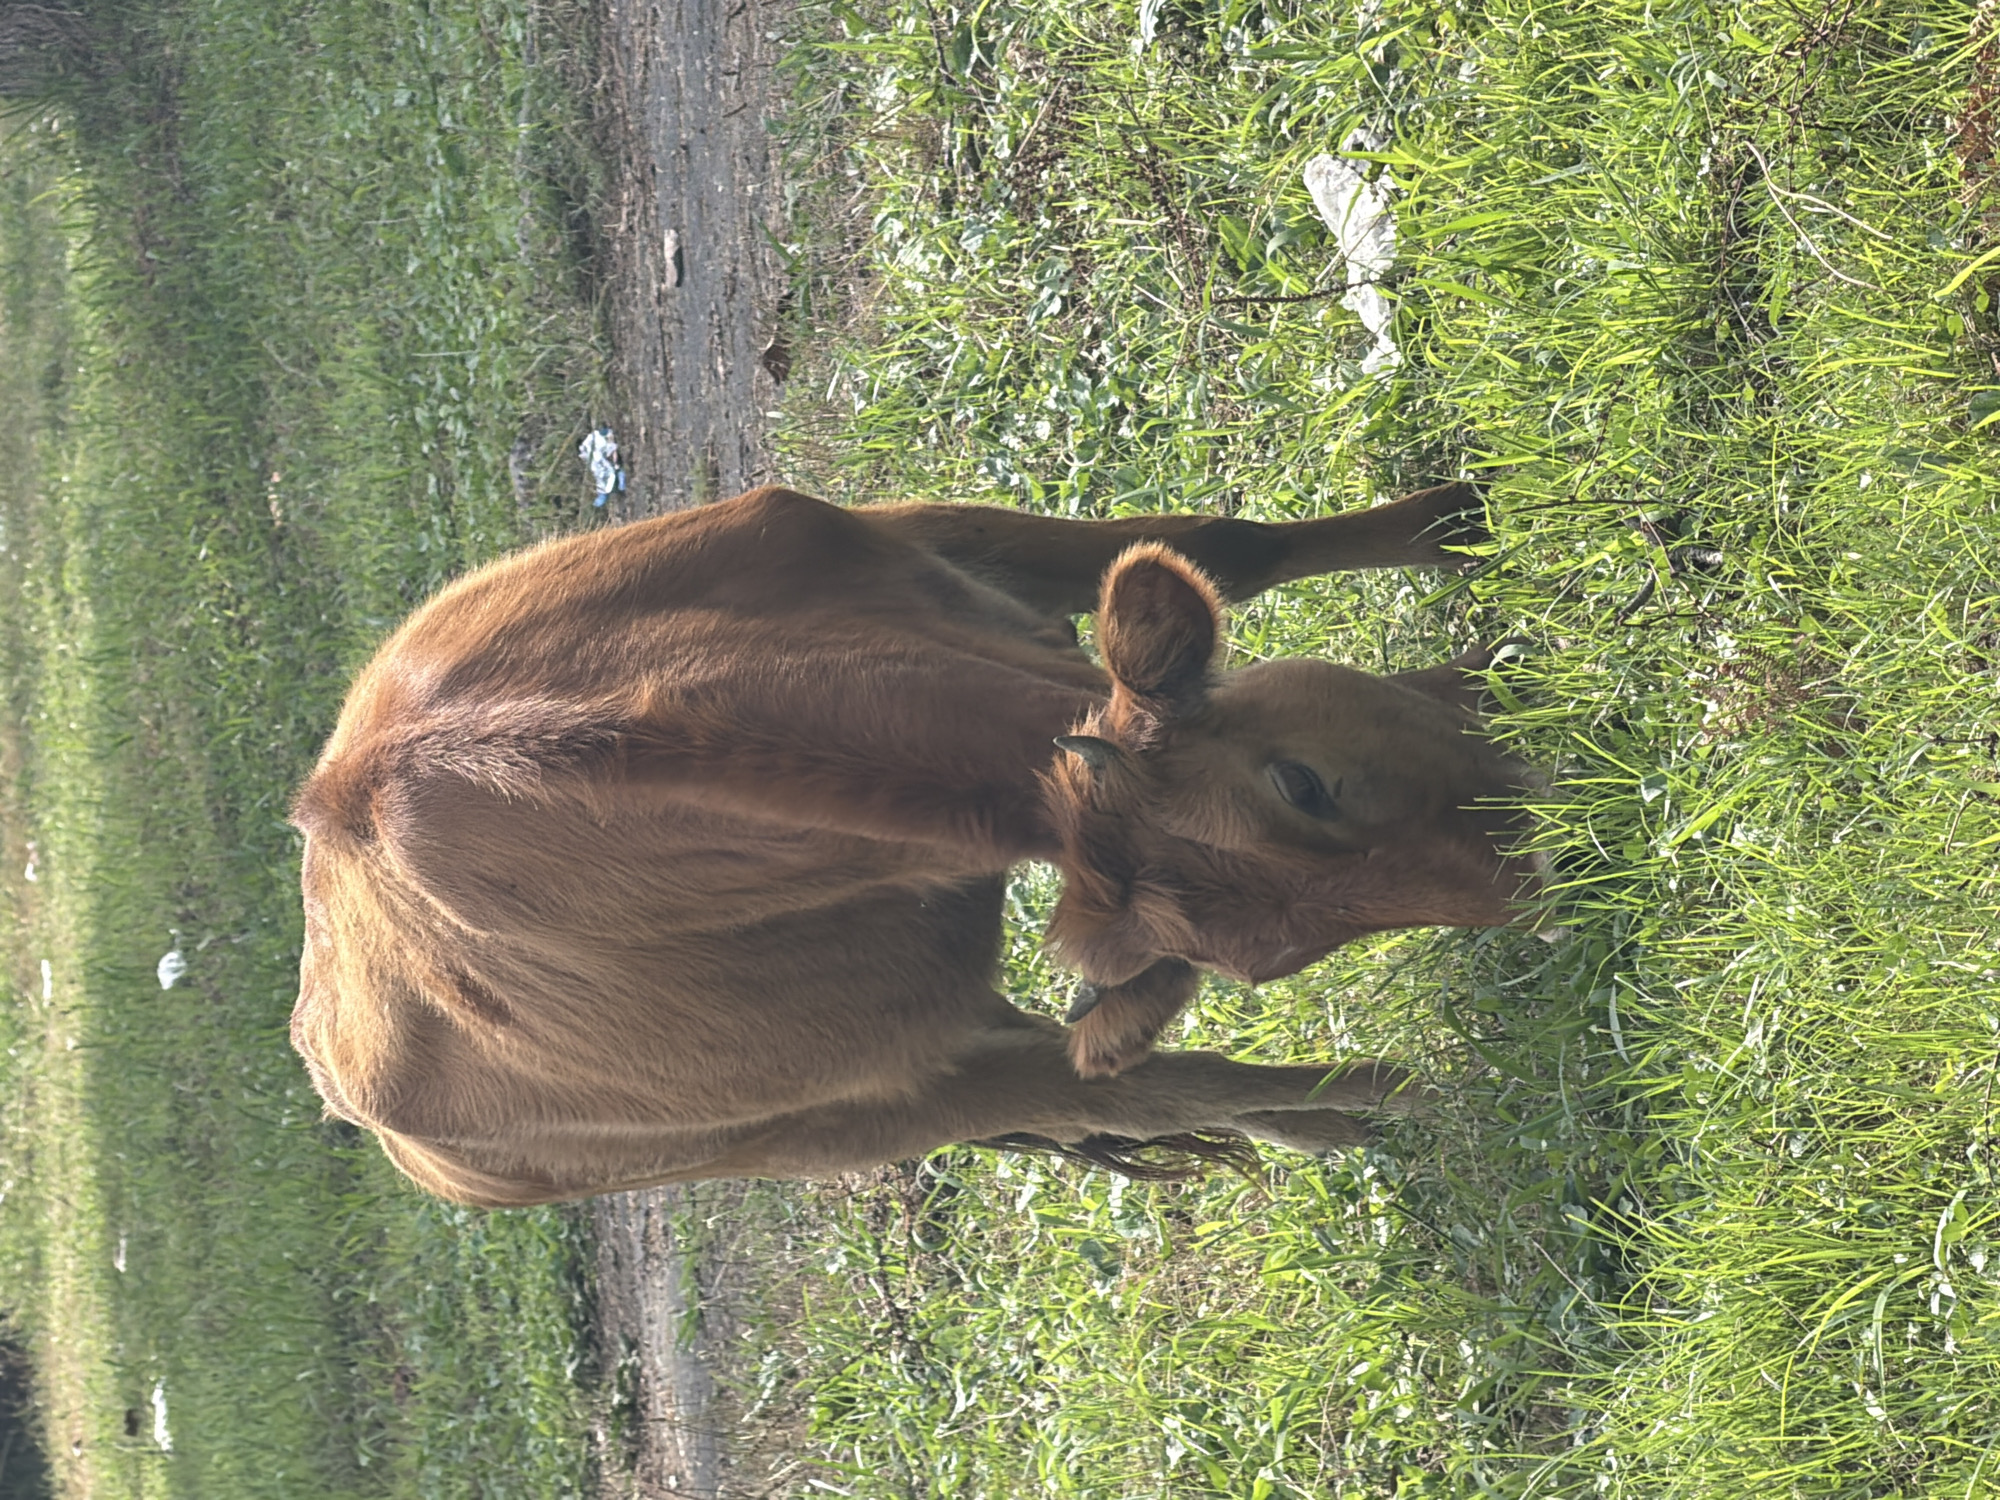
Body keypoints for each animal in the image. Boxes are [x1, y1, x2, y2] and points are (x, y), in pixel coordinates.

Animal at [290, 484, 1548, 1207]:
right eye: (1302, 786)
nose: (1542, 869)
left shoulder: (924, 543)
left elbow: (1215, 542)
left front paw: (1464, 535)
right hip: (851, 1113)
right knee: (1146, 1090)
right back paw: (1403, 1100)